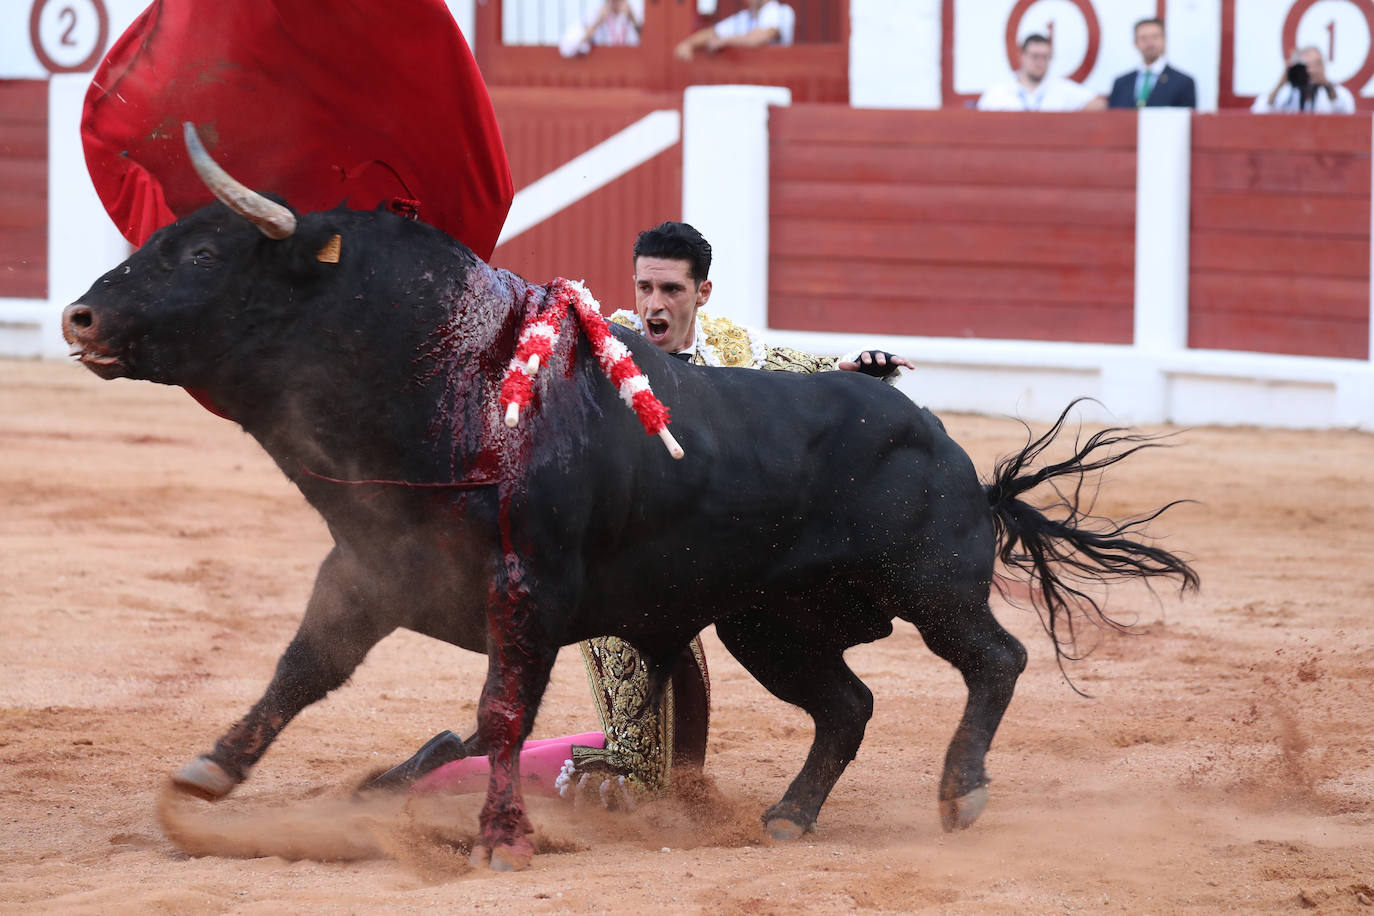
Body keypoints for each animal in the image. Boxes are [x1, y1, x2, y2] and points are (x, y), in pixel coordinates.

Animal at [64, 193, 1198, 867]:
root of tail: (949, 447)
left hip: (927, 584)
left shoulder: (528, 591)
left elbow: (496, 712)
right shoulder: (372, 567)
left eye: (201, 251)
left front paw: (492, 835)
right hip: (768, 624)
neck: (448, 384)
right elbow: (305, 668)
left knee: (994, 658)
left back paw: (960, 794)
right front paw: (209, 774)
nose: (79, 317)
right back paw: (788, 814)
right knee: (848, 703)